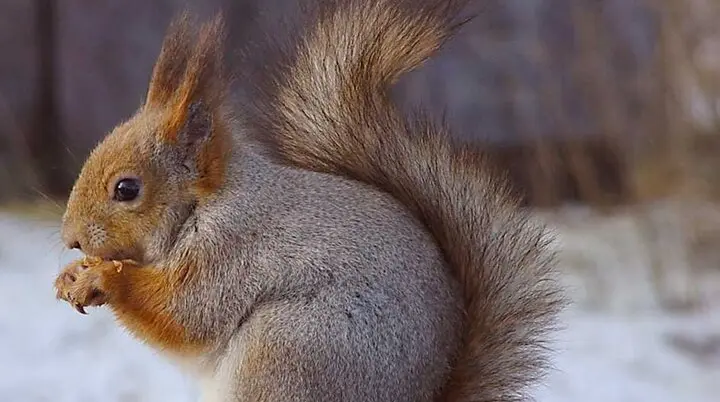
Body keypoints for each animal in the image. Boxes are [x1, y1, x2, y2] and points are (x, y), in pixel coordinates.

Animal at [53, 0, 565, 401]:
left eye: (126, 189)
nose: (71, 239)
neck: (205, 205)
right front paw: (71, 275)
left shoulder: (230, 252)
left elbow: (184, 315)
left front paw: (103, 278)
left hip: (290, 348)